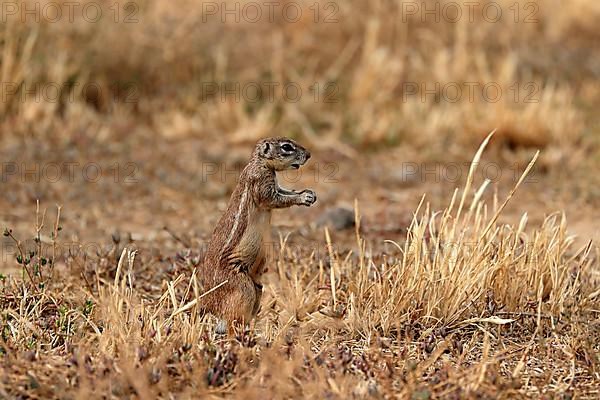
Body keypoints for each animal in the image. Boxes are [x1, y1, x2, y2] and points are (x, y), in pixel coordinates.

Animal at [199, 138, 316, 332]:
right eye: (286, 147)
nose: (308, 155)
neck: (259, 162)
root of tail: (210, 305)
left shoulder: (275, 185)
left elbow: (285, 191)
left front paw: (309, 193)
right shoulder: (262, 184)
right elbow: (276, 199)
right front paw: (303, 197)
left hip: (258, 288)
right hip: (242, 287)